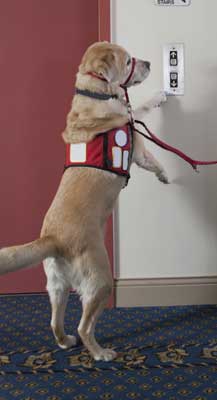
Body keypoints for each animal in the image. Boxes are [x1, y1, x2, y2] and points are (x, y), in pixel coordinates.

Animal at [0, 42, 169, 360]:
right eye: (129, 60)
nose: (151, 63)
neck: (95, 92)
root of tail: (53, 238)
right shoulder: (136, 142)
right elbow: (140, 118)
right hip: (100, 281)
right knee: (84, 326)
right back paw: (100, 352)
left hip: (57, 286)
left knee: (55, 323)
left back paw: (66, 341)